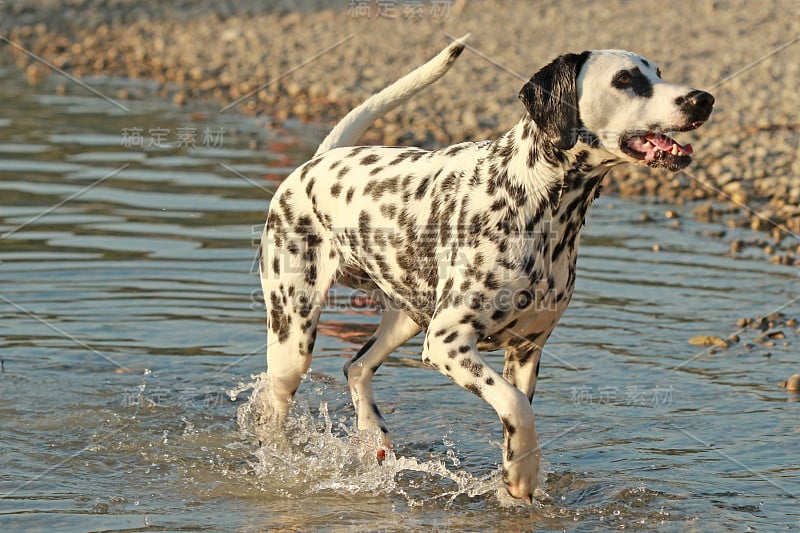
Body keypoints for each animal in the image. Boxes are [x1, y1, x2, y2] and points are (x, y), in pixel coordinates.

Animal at [258, 35, 712, 500]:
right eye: (624, 79)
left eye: (658, 72)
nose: (703, 99)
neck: (534, 200)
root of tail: (315, 164)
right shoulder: (449, 344)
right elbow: (516, 405)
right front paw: (522, 472)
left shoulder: (526, 352)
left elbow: (519, 417)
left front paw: (517, 475)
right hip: (295, 339)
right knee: (275, 409)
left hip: (406, 319)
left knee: (357, 366)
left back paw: (372, 431)